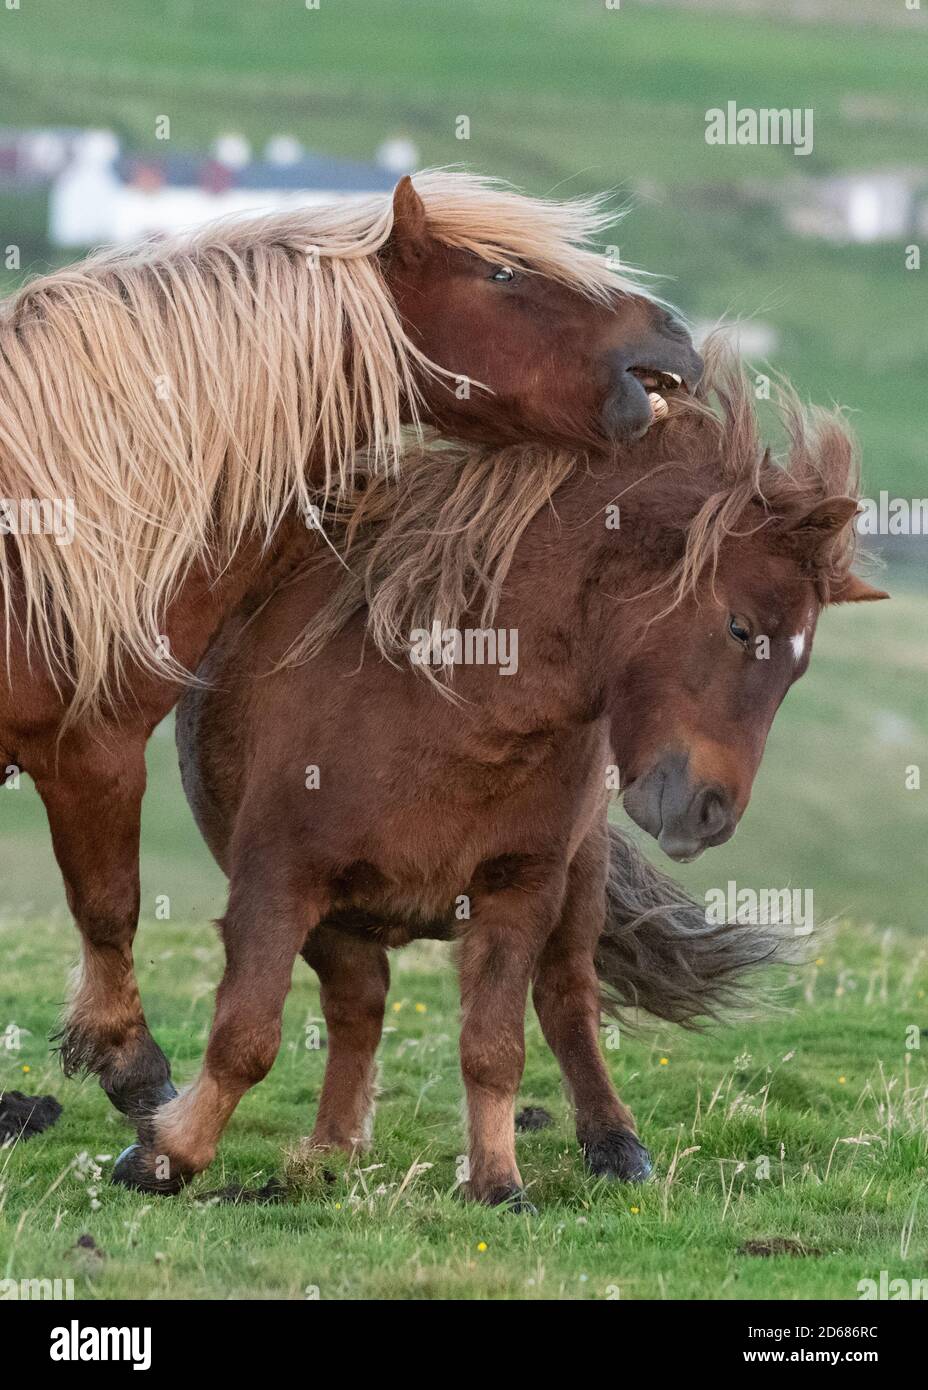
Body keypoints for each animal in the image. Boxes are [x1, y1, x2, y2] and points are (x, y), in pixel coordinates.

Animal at [112, 350, 889, 1206]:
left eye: (798, 667)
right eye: (739, 626)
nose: (709, 812)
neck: (446, 701)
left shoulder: (520, 891)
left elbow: (496, 1047)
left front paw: (497, 1181)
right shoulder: (278, 880)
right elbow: (247, 1034)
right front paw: (168, 1154)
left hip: (577, 883)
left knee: (568, 1000)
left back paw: (615, 1143)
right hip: (338, 920)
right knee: (358, 1006)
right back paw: (330, 1147)